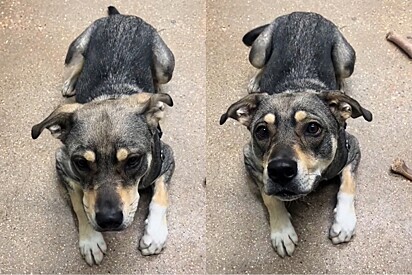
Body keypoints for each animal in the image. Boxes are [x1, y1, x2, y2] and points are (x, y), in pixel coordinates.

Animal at [31, 5, 175, 266]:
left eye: (133, 160)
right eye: (80, 163)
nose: (109, 220)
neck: (112, 96)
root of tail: (121, 16)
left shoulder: (166, 156)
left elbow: (160, 196)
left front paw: (155, 234)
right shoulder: (62, 163)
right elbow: (80, 203)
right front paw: (91, 240)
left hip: (165, 65)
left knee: (160, 78)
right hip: (77, 47)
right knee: (77, 63)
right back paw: (70, 83)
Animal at [220, 11, 372, 258]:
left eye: (313, 128)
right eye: (261, 131)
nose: (280, 171)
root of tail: (304, 13)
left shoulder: (352, 147)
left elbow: (348, 184)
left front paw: (344, 222)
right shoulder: (250, 159)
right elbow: (270, 196)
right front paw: (282, 231)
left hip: (345, 59)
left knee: (342, 71)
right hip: (258, 51)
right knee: (260, 64)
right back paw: (256, 82)